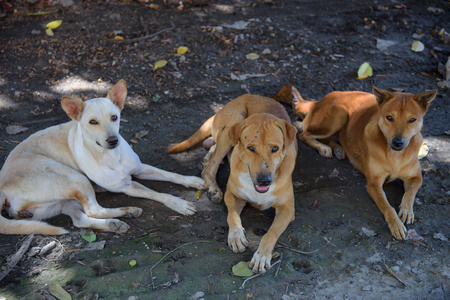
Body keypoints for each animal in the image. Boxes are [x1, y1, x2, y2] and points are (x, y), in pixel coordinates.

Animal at [0, 81, 204, 236]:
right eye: (93, 122)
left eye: (114, 117)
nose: (113, 140)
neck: (111, 156)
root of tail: (2, 186)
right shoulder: (127, 186)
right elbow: (159, 194)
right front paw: (179, 203)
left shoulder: (140, 169)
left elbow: (171, 174)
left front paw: (193, 181)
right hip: (74, 178)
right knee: (93, 209)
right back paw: (127, 211)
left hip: (63, 202)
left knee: (80, 219)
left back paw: (115, 222)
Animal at [167, 89, 298, 274]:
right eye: (250, 148)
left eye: (275, 148)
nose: (264, 181)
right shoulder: (233, 195)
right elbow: (233, 216)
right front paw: (236, 235)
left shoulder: (287, 209)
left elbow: (271, 233)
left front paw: (261, 255)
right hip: (231, 126)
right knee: (210, 167)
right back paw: (213, 187)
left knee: (212, 152)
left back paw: (206, 159)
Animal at [290, 86, 438, 239]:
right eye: (389, 117)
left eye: (412, 120)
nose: (398, 142)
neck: (395, 155)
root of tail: (320, 100)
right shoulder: (374, 183)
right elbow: (387, 206)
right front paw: (396, 224)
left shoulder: (416, 177)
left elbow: (410, 194)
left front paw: (407, 210)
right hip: (338, 115)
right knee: (303, 135)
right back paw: (323, 148)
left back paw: (338, 149)